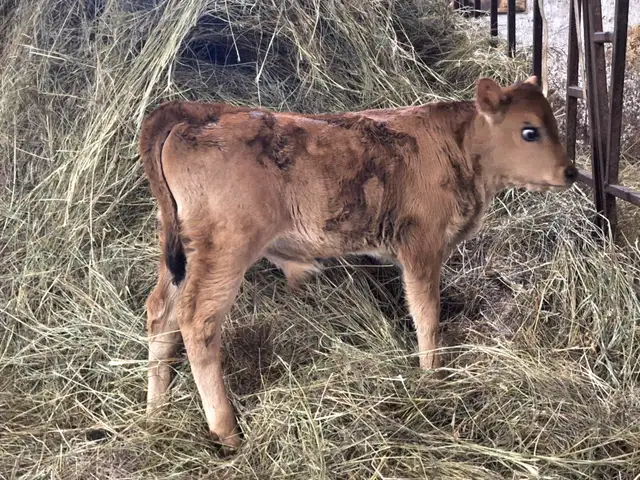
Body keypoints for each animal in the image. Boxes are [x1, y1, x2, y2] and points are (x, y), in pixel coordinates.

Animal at [139, 76, 577, 448]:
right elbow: (427, 314)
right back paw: (226, 430)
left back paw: (155, 410)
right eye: (530, 131)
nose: (571, 171)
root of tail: (200, 111)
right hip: (225, 247)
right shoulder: (421, 246)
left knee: (161, 315)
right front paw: (431, 374)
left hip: (180, 253)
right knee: (197, 321)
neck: (460, 148)